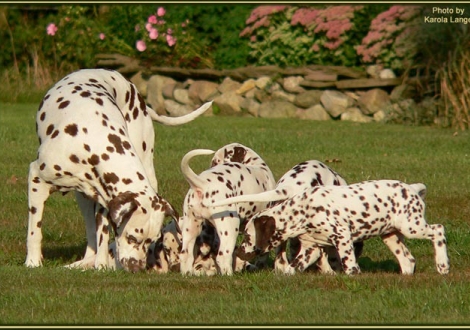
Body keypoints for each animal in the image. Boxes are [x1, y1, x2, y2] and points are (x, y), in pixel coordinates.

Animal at [23, 68, 211, 272]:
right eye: (132, 238)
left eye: (151, 241)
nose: (138, 268)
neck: (93, 141)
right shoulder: (37, 179)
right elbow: (35, 230)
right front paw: (33, 261)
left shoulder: (105, 202)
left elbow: (103, 236)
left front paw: (101, 265)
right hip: (83, 199)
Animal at [179, 143, 276, 274]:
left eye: (215, 162)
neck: (256, 165)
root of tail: (203, 183)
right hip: (229, 227)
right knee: (223, 256)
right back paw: (229, 274)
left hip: (191, 227)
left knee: (186, 255)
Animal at [237, 180, 450, 276]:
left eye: (247, 236)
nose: (238, 252)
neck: (302, 210)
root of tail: (412, 188)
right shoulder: (311, 248)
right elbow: (292, 268)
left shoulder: (342, 236)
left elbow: (349, 263)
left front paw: (353, 274)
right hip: (391, 236)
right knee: (408, 260)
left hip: (411, 227)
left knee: (438, 230)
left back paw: (443, 265)